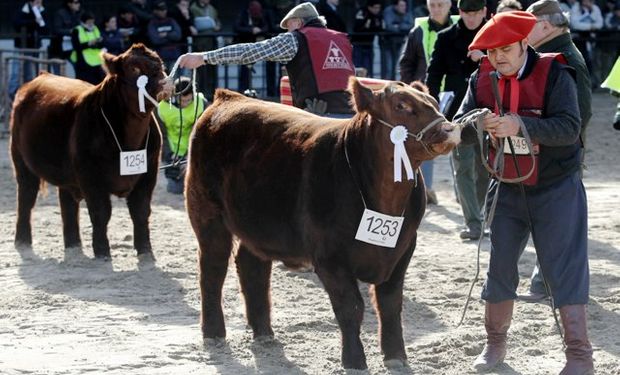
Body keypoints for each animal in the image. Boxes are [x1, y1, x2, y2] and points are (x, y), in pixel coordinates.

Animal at [10, 44, 171, 260]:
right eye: (135, 68)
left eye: (160, 64)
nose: (165, 81)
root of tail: (40, 77)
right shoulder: (91, 177)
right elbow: (100, 213)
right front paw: (102, 252)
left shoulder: (148, 173)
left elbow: (140, 211)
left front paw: (146, 251)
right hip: (22, 161)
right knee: (26, 198)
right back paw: (23, 241)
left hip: (66, 173)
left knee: (67, 204)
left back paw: (73, 245)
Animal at [184, 78, 460, 370]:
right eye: (401, 105)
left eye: (433, 102)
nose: (449, 129)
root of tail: (228, 97)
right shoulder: (330, 258)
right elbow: (351, 307)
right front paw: (354, 361)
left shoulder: (403, 250)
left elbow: (389, 305)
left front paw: (396, 357)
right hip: (208, 215)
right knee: (212, 270)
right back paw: (214, 333)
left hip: (258, 224)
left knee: (252, 266)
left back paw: (264, 332)